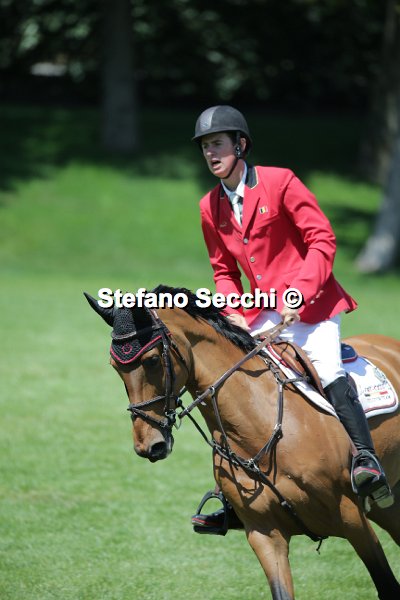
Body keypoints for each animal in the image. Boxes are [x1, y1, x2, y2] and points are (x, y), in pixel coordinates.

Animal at [85, 285, 400, 600]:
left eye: (151, 360)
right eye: (115, 367)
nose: (148, 446)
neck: (260, 428)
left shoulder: (352, 517)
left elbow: (387, 585)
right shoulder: (264, 534)